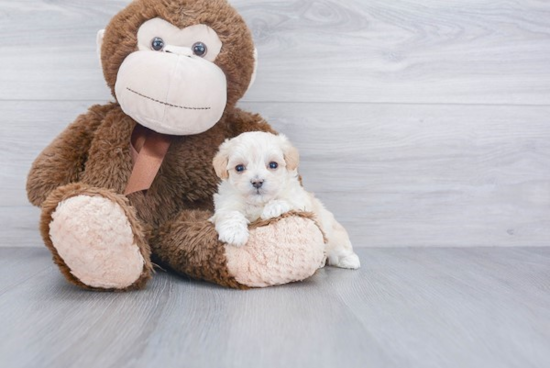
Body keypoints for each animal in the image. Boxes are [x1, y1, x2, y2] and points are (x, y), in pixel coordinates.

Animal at [211, 131, 362, 268]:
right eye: (239, 168)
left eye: (273, 165)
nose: (257, 182)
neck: (260, 202)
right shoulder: (226, 203)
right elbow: (230, 213)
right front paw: (234, 234)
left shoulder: (300, 200)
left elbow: (286, 200)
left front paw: (272, 209)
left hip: (333, 235)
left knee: (340, 248)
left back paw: (350, 260)